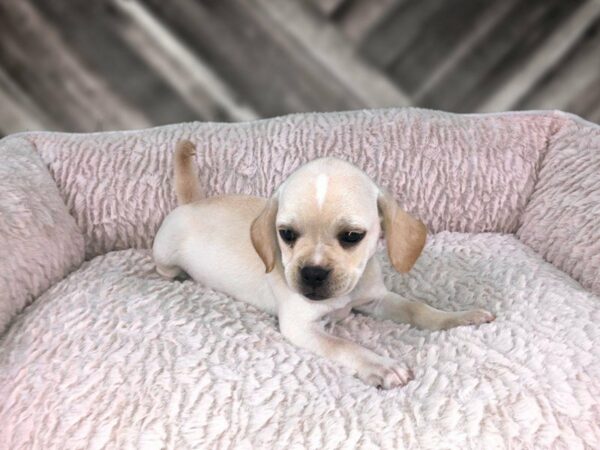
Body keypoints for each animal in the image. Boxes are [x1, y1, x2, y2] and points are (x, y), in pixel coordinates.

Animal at [152, 142, 494, 390]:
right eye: (286, 234)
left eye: (352, 236)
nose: (312, 273)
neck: (342, 297)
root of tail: (191, 203)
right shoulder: (301, 327)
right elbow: (344, 346)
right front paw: (380, 366)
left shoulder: (378, 300)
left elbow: (418, 309)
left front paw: (458, 318)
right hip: (164, 253)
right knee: (163, 268)